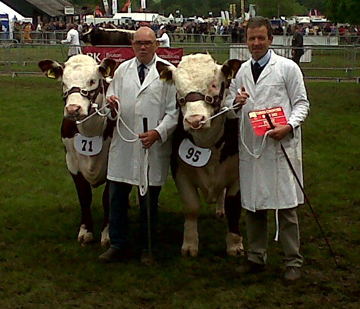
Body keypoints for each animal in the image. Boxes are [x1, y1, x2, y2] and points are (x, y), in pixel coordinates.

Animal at [38, 53, 116, 245]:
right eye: (63, 82)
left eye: (92, 80)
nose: (73, 109)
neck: (91, 130)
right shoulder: (72, 162)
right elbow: (84, 196)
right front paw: (85, 231)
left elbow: (107, 198)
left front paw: (107, 234)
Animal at [158, 54, 245, 256]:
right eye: (178, 89)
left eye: (213, 84)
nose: (194, 120)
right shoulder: (180, 171)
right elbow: (191, 207)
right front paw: (190, 245)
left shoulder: (238, 174)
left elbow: (233, 206)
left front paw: (235, 245)